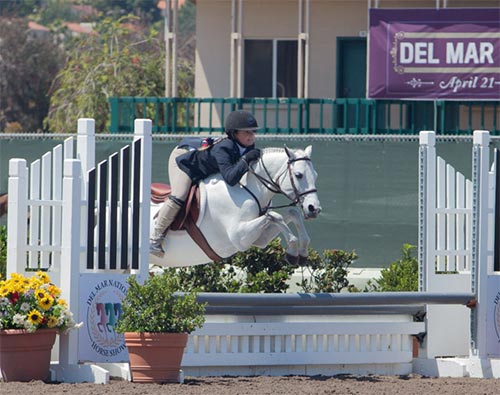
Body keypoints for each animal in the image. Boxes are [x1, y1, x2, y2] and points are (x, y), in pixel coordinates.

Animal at [149, 146, 320, 270]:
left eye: (316, 175)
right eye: (298, 175)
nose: (314, 209)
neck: (246, 187)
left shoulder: (259, 239)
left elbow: (292, 212)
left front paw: (302, 253)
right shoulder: (238, 235)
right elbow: (275, 216)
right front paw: (292, 252)